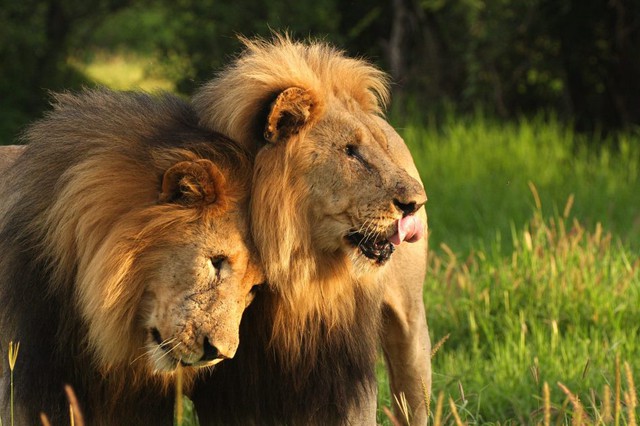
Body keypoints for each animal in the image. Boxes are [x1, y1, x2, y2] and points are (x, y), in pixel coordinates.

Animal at [191, 34, 430, 426]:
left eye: (380, 148)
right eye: (350, 151)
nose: (417, 203)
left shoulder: (341, 369)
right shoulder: (229, 385)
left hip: (411, 330)